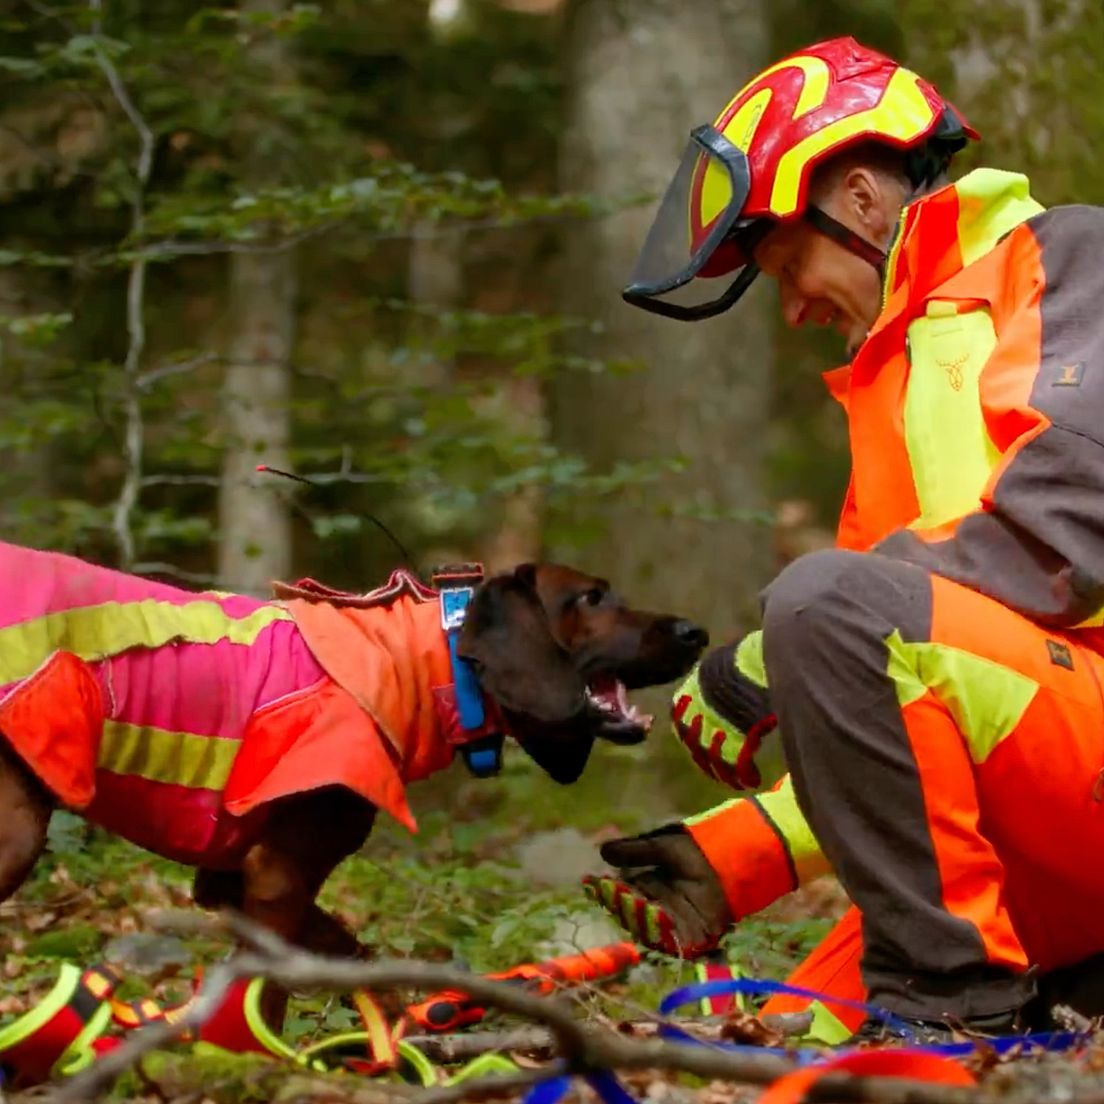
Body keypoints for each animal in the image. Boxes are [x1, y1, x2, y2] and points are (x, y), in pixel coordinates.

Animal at [0, 538, 706, 962]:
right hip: (17, 833)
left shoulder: (231, 881)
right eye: (590, 597)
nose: (695, 631)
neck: (417, 663)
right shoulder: (278, 876)